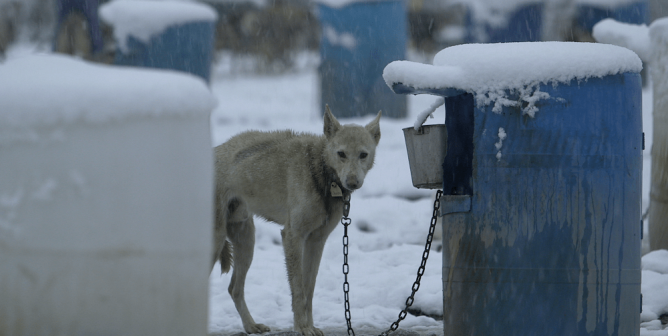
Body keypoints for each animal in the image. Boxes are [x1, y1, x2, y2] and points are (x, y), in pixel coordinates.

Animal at [214, 105, 380, 336]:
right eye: (341, 154)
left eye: (363, 155)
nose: (352, 182)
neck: (319, 171)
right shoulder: (292, 236)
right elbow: (298, 290)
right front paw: (301, 328)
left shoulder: (316, 241)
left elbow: (308, 290)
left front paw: (309, 326)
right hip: (215, 244)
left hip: (246, 244)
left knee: (234, 289)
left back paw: (251, 326)